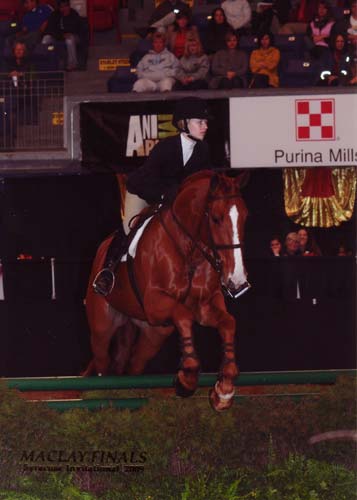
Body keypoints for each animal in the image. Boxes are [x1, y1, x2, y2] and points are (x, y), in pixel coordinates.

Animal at [82, 170, 250, 412]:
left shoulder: (204, 306)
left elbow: (228, 322)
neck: (190, 251)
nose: (237, 281)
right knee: (102, 363)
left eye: (245, 217)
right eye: (216, 218)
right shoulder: (155, 303)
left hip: (153, 335)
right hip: (102, 326)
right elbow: (183, 314)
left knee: (133, 365)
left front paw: (224, 390)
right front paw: (186, 379)